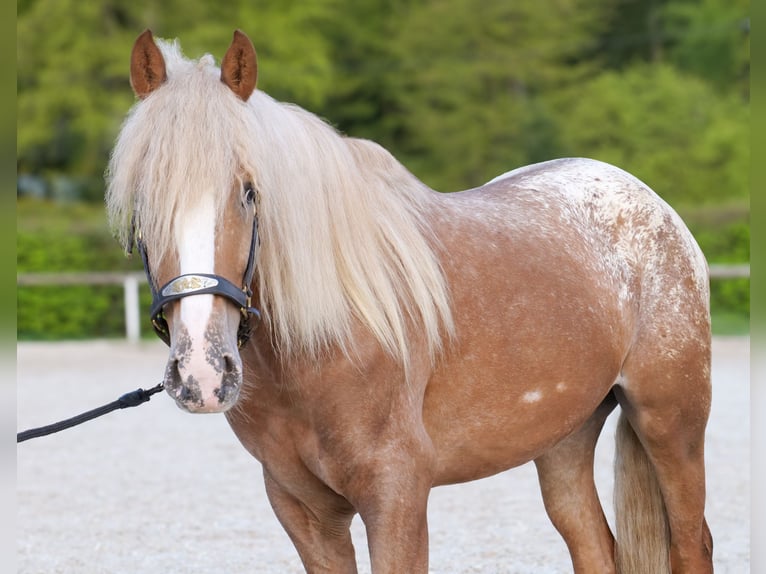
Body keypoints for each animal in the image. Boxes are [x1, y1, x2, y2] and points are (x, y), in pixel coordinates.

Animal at [106, 29, 714, 573]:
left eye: (250, 192)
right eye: (142, 203)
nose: (203, 373)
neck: (334, 333)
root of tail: (653, 205)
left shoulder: (396, 495)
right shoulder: (303, 509)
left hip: (671, 424)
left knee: (691, 544)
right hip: (565, 438)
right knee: (593, 544)